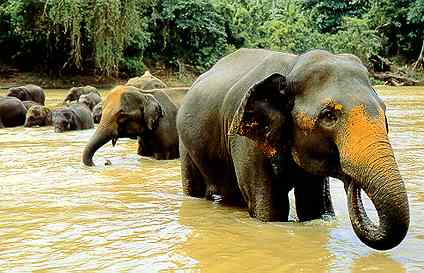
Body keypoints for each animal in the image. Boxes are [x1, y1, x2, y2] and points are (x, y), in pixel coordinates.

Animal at [177, 47, 410, 250]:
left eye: (384, 111)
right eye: (328, 115)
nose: (351, 181)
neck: (292, 67)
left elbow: (312, 205)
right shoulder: (246, 142)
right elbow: (271, 210)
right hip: (185, 146)